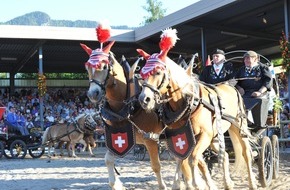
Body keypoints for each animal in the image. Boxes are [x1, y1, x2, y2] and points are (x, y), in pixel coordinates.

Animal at [80, 40, 172, 189]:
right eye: (87, 67)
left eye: (104, 66)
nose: (93, 94)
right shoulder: (115, 136)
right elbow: (108, 159)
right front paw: (116, 183)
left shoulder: (151, 139)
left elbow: (156, 166)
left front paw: (163, 186)